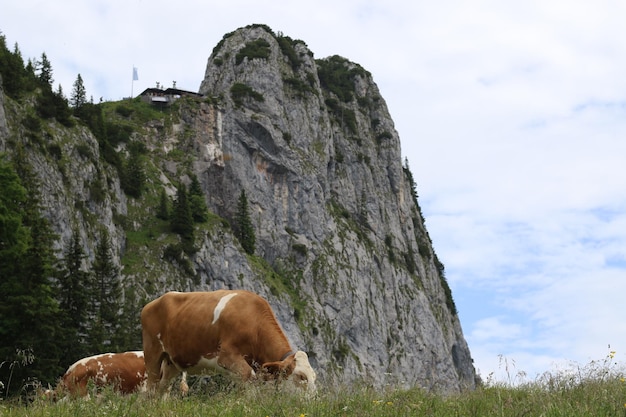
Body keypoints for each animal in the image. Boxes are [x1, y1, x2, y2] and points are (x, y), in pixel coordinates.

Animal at [142, 290, 316, 394]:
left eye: (314, 377)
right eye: (301, 376)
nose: (313, 402)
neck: (255, 323)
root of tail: (153, 302)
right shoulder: (226, 356)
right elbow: (249, 377)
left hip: (171, 362)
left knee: (162, 388)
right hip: (152, 353)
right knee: (150, 389)